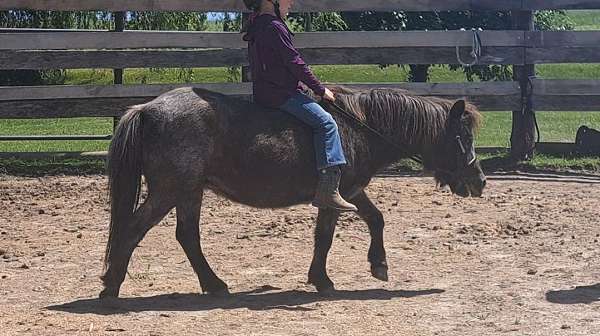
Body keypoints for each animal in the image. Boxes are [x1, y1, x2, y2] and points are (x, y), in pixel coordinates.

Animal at [101, 85, 486, 298]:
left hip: (189, 192)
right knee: (133, 229)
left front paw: (376, 265)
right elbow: (326, 237)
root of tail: (145, 109)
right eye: (461, 137)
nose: (479, 181)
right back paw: (111, 285)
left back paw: (214, 285)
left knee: (187, 237)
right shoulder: (338, 194)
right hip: (169, 190)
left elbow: (374, 220)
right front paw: (326, 279)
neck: (358, 126)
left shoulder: (350, 191)